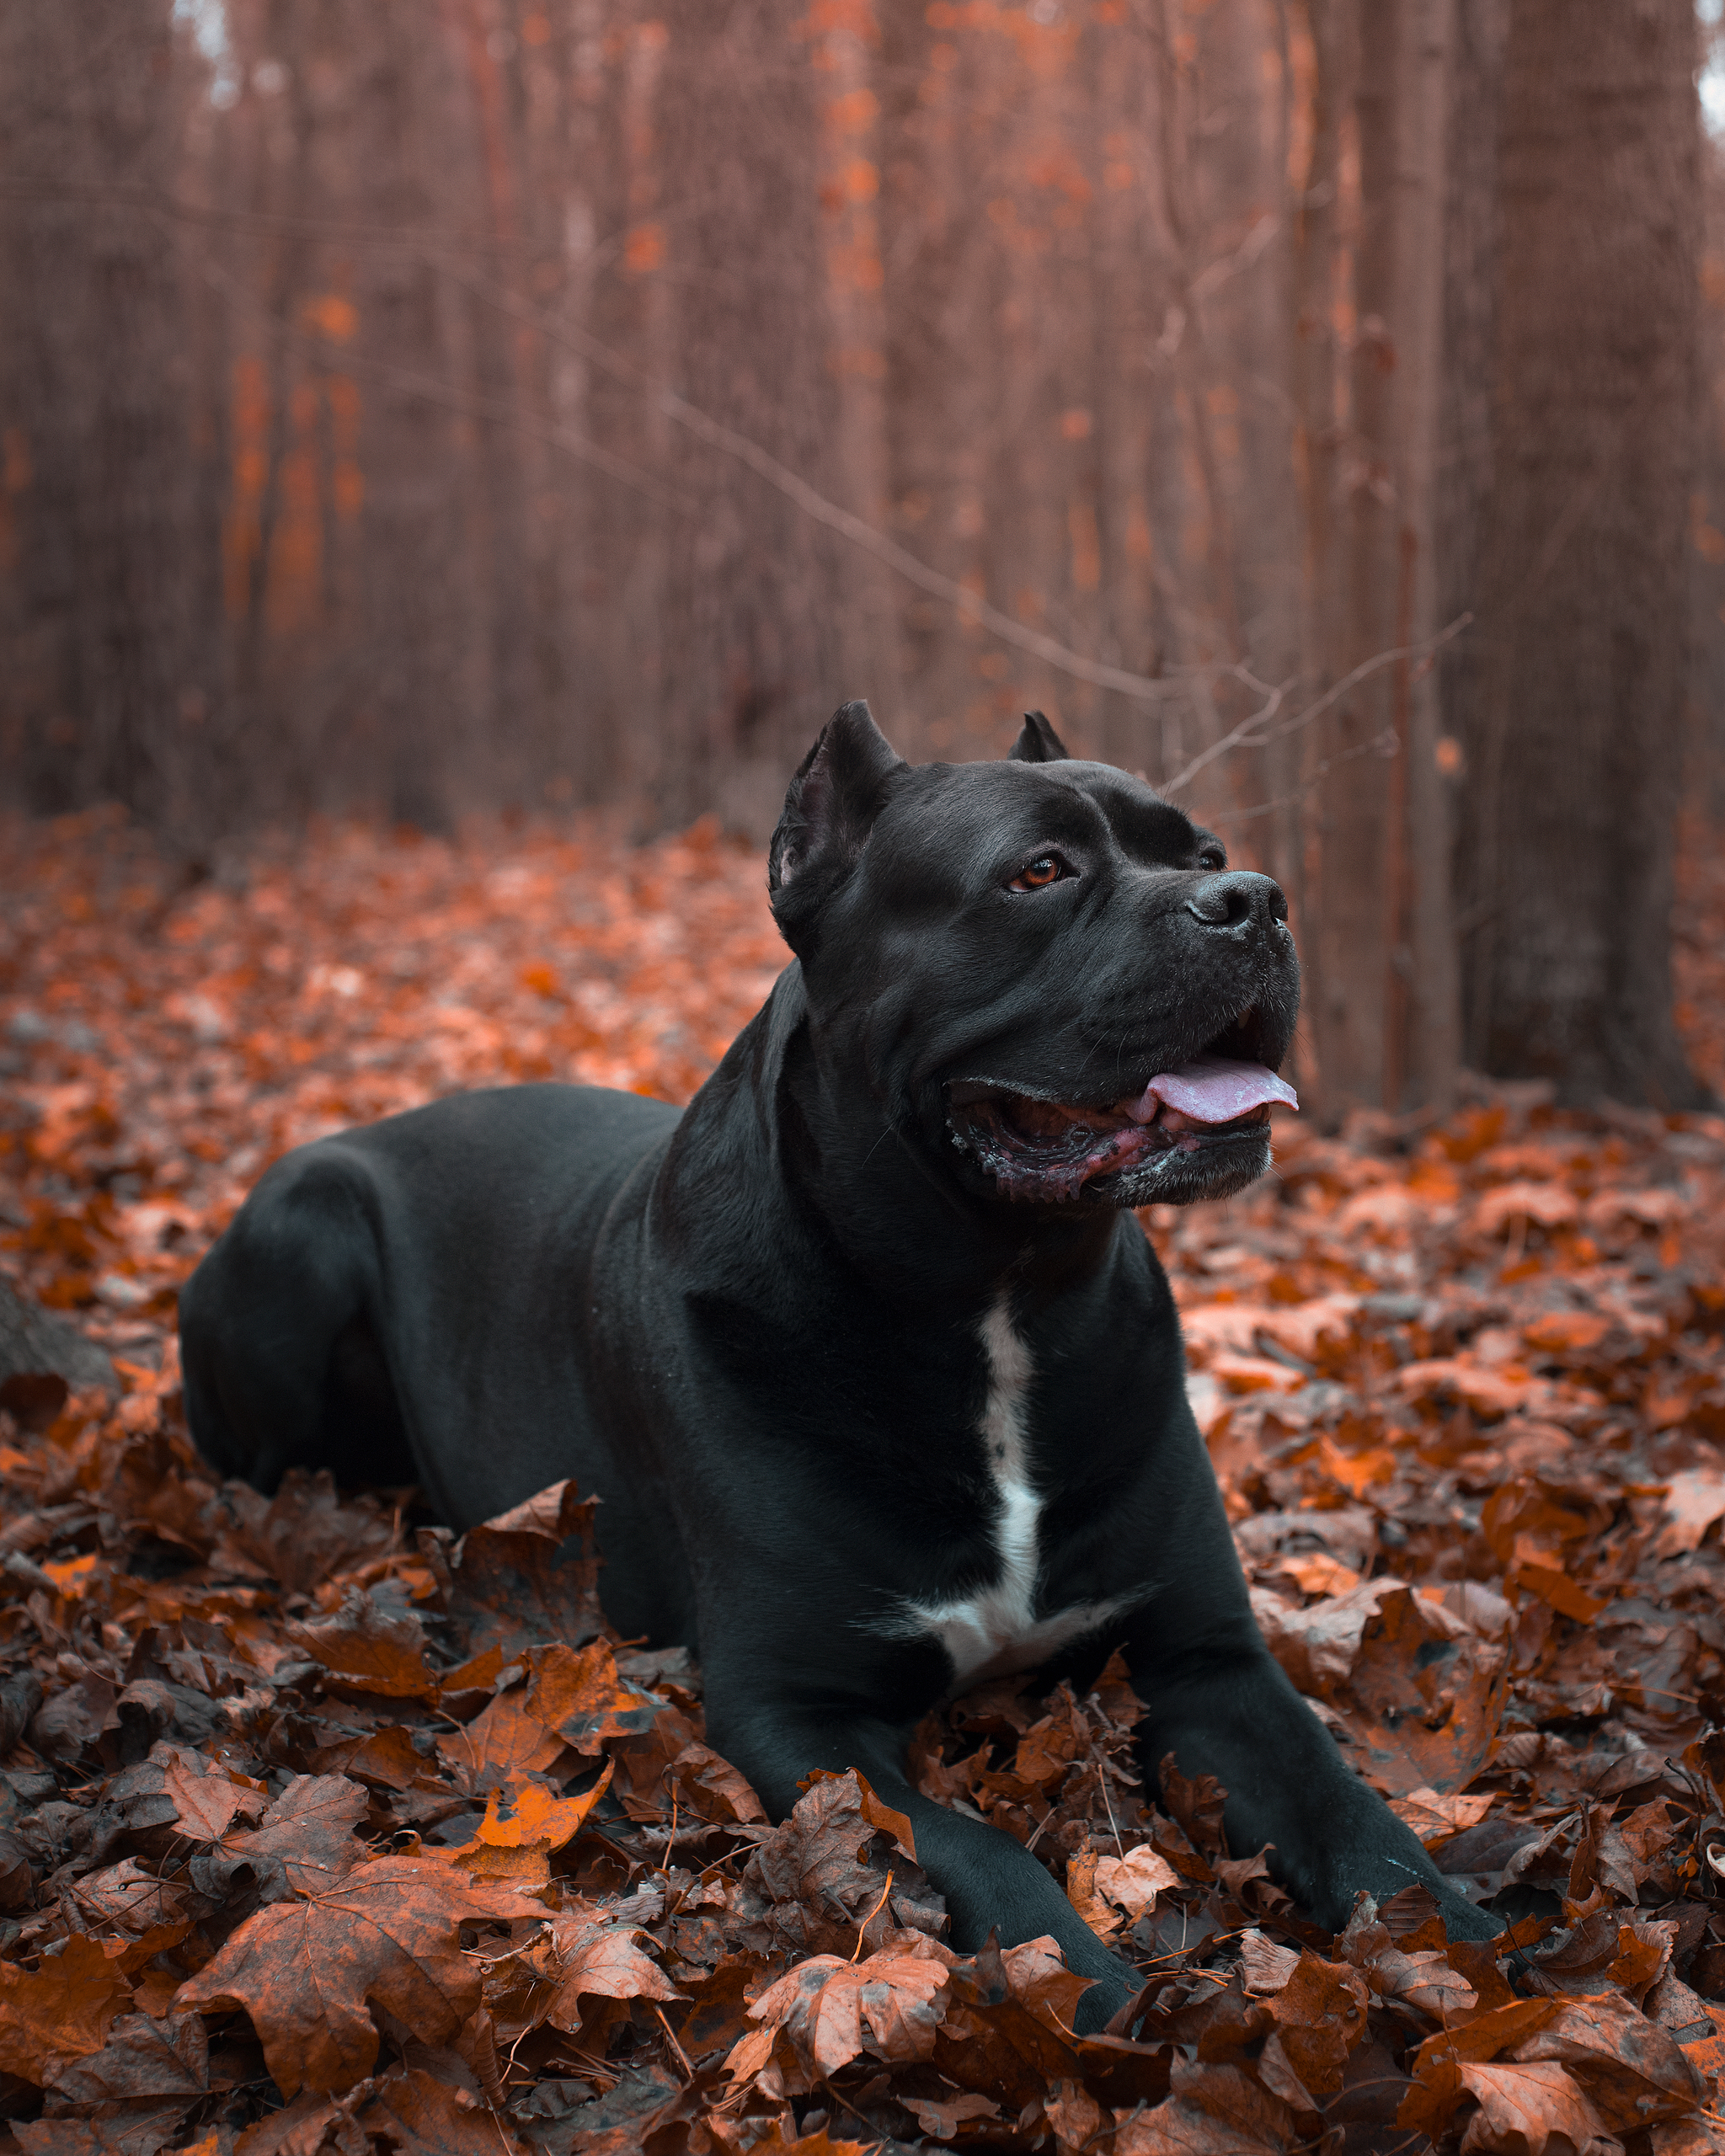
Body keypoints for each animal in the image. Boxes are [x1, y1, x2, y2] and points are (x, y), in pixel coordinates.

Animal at [179, 707, 1492, 2018]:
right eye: (1038, 872)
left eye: (1203, 849)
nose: (1253, 898)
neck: (998, 1302)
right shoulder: (796, 1710)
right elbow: (980, 1849)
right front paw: (1089, 1990)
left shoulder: (1203, 1657)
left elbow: (1354, 1815)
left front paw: (1471, 1950)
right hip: (306, 1227)